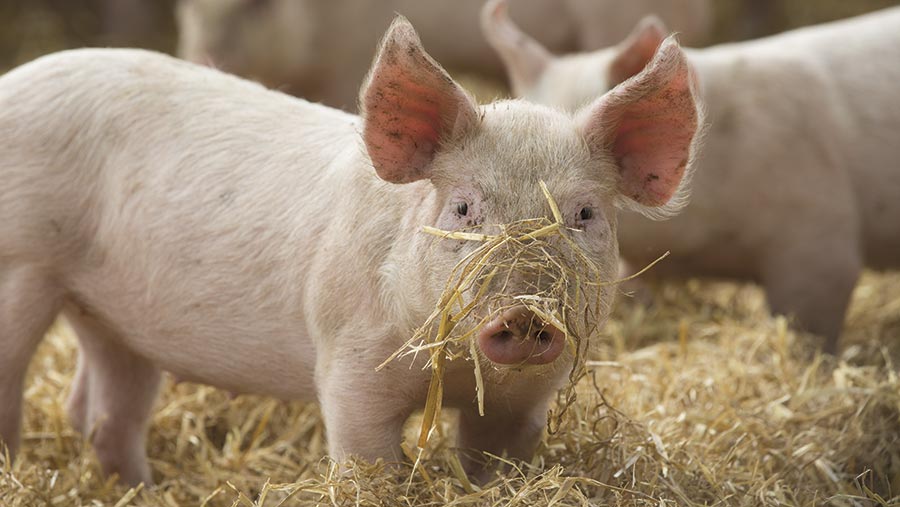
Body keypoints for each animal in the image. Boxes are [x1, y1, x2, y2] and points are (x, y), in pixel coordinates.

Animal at [0, 18, 700, 486]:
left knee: (102, 410)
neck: (448, 373)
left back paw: (144, 487)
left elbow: (495, 461)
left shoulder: (525, 401)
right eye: (463, 208)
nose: (524, 314)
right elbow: (367, 458)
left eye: (584, 214)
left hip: (108, 313)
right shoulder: (350, 361)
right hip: (24, 262)